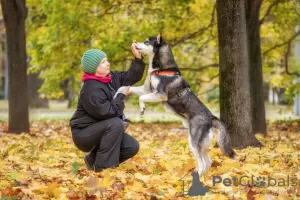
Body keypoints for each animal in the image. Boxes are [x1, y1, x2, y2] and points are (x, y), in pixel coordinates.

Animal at [115, 34, 237, 177]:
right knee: (208, 162)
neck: (161, 70)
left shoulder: (160, 95)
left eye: (146, 42)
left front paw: (142, 108)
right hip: (201, 144)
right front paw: (117, 94)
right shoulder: (146, 89)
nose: (134, 44)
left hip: (194, 142)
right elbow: (125, 88)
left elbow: (141, 98)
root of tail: (211, 118)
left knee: (203, 163)